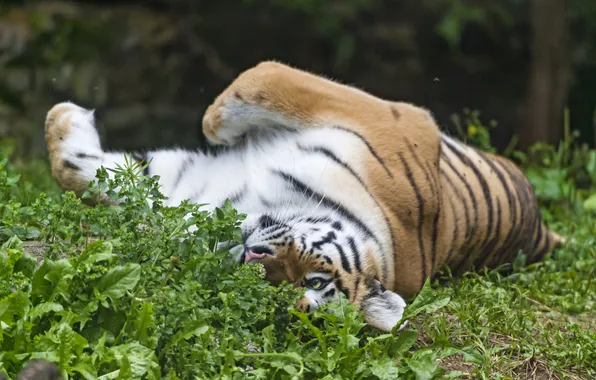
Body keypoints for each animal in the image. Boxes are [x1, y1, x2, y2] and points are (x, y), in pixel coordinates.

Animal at [43, 60, 564, 332]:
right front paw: (63, 117)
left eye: (306, 287)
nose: (252, 259)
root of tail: (543, 232)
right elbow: (263, 80)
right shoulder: (400, 121)